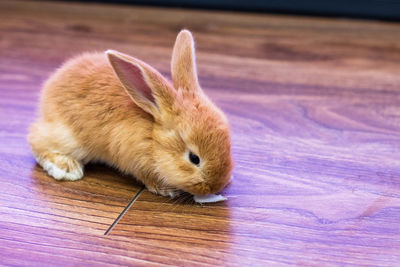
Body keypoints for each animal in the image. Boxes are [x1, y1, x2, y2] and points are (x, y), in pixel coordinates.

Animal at [28, 29, 233, 199]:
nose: (216, 186)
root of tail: (49, 88)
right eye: (194, 158)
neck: (152, 136)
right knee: (37, 141)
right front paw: (167, 190)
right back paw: (67, 168)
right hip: (69, 138)